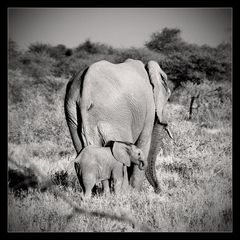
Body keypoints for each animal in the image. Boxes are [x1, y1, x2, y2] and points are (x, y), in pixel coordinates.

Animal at [64, 58, 172, 193]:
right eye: (168, 97)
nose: (159, 190)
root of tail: (85, 91)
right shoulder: (149, 110)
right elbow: (143, 143)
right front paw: (134, 193)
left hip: (72, 111)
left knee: (83, 148)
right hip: (114, 116)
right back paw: (122, 193)